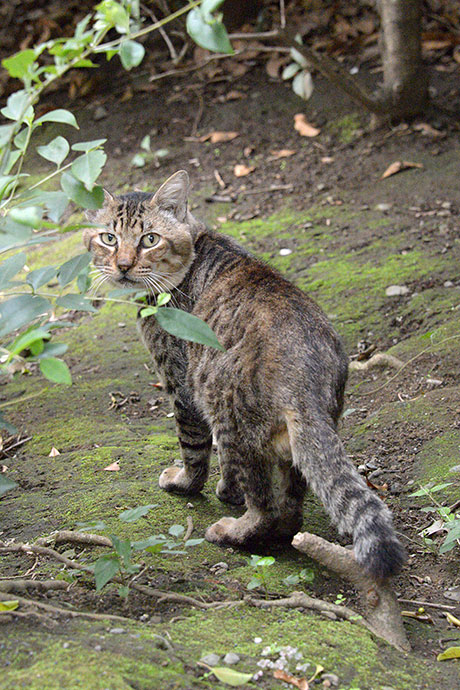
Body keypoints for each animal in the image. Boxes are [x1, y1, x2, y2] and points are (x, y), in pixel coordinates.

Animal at [83, 169, 406, 576]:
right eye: (108, 238)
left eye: (149, 239)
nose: (123, 265)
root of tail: (306, 379)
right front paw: (227, 491)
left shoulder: (181, 383)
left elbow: (195, 450)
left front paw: (190, 484)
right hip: (293, 442)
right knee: (290, 511)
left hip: (227, 409)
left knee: (266, 507)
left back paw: (231, 531)